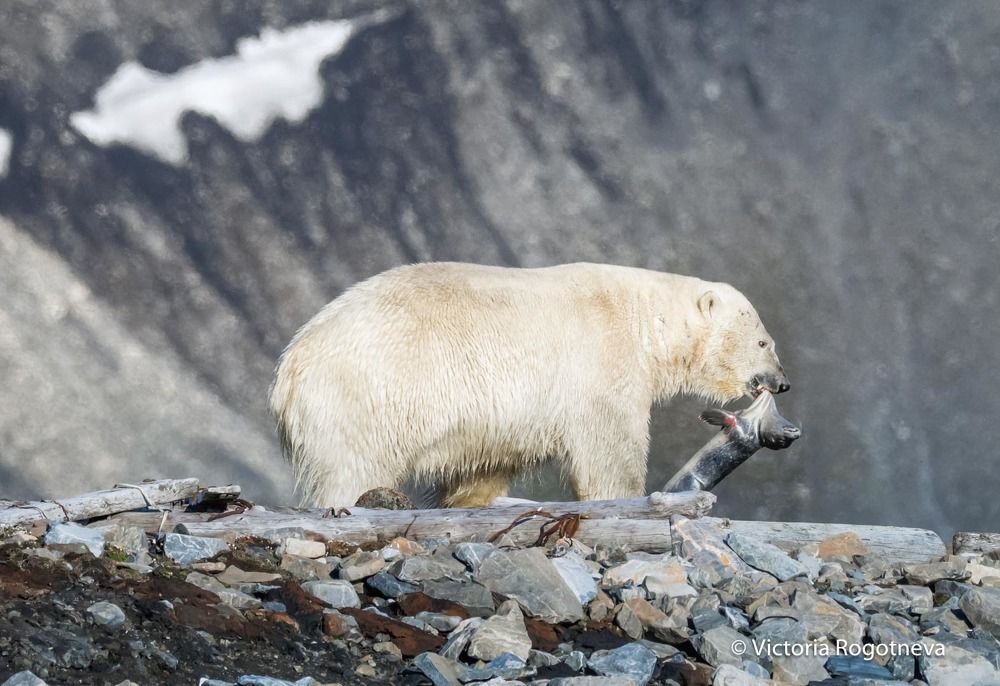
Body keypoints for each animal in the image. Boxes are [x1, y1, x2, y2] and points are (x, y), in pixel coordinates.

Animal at [268, 262, 790, 508]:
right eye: (764, 340)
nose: (781, 383)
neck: (645, 320)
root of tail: (289, 369)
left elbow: (489, 458)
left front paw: (469, 497)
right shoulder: (601, 360)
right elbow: (610, 447)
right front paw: (625, 496)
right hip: (364, 397)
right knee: (353, 468)